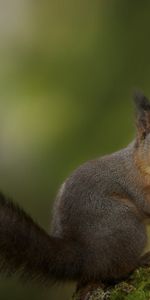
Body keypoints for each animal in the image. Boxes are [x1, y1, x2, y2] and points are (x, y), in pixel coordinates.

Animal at [0, 92, 150, 288]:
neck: (137, 162)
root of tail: (84, 258)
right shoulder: (133, 185)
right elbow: (146, 203)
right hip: (127, 225)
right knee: (116, 270)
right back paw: (139, 261)